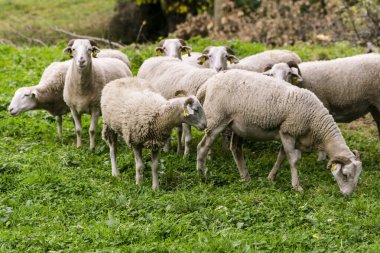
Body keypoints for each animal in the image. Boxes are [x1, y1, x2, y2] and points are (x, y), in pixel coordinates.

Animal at [197, 69, 364, 196]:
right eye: (345, 175)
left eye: (358, 176)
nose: (348, 195)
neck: (316, 122)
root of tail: (208, 83)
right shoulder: (288, 131)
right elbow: (293, 160)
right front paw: (297, 186)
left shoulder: (289, 135)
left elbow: (281, 157)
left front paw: (271, 177)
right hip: (217, 118)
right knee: (203, 146)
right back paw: (202, 174)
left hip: (237, 125)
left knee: (236, 148)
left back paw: (245, 177)